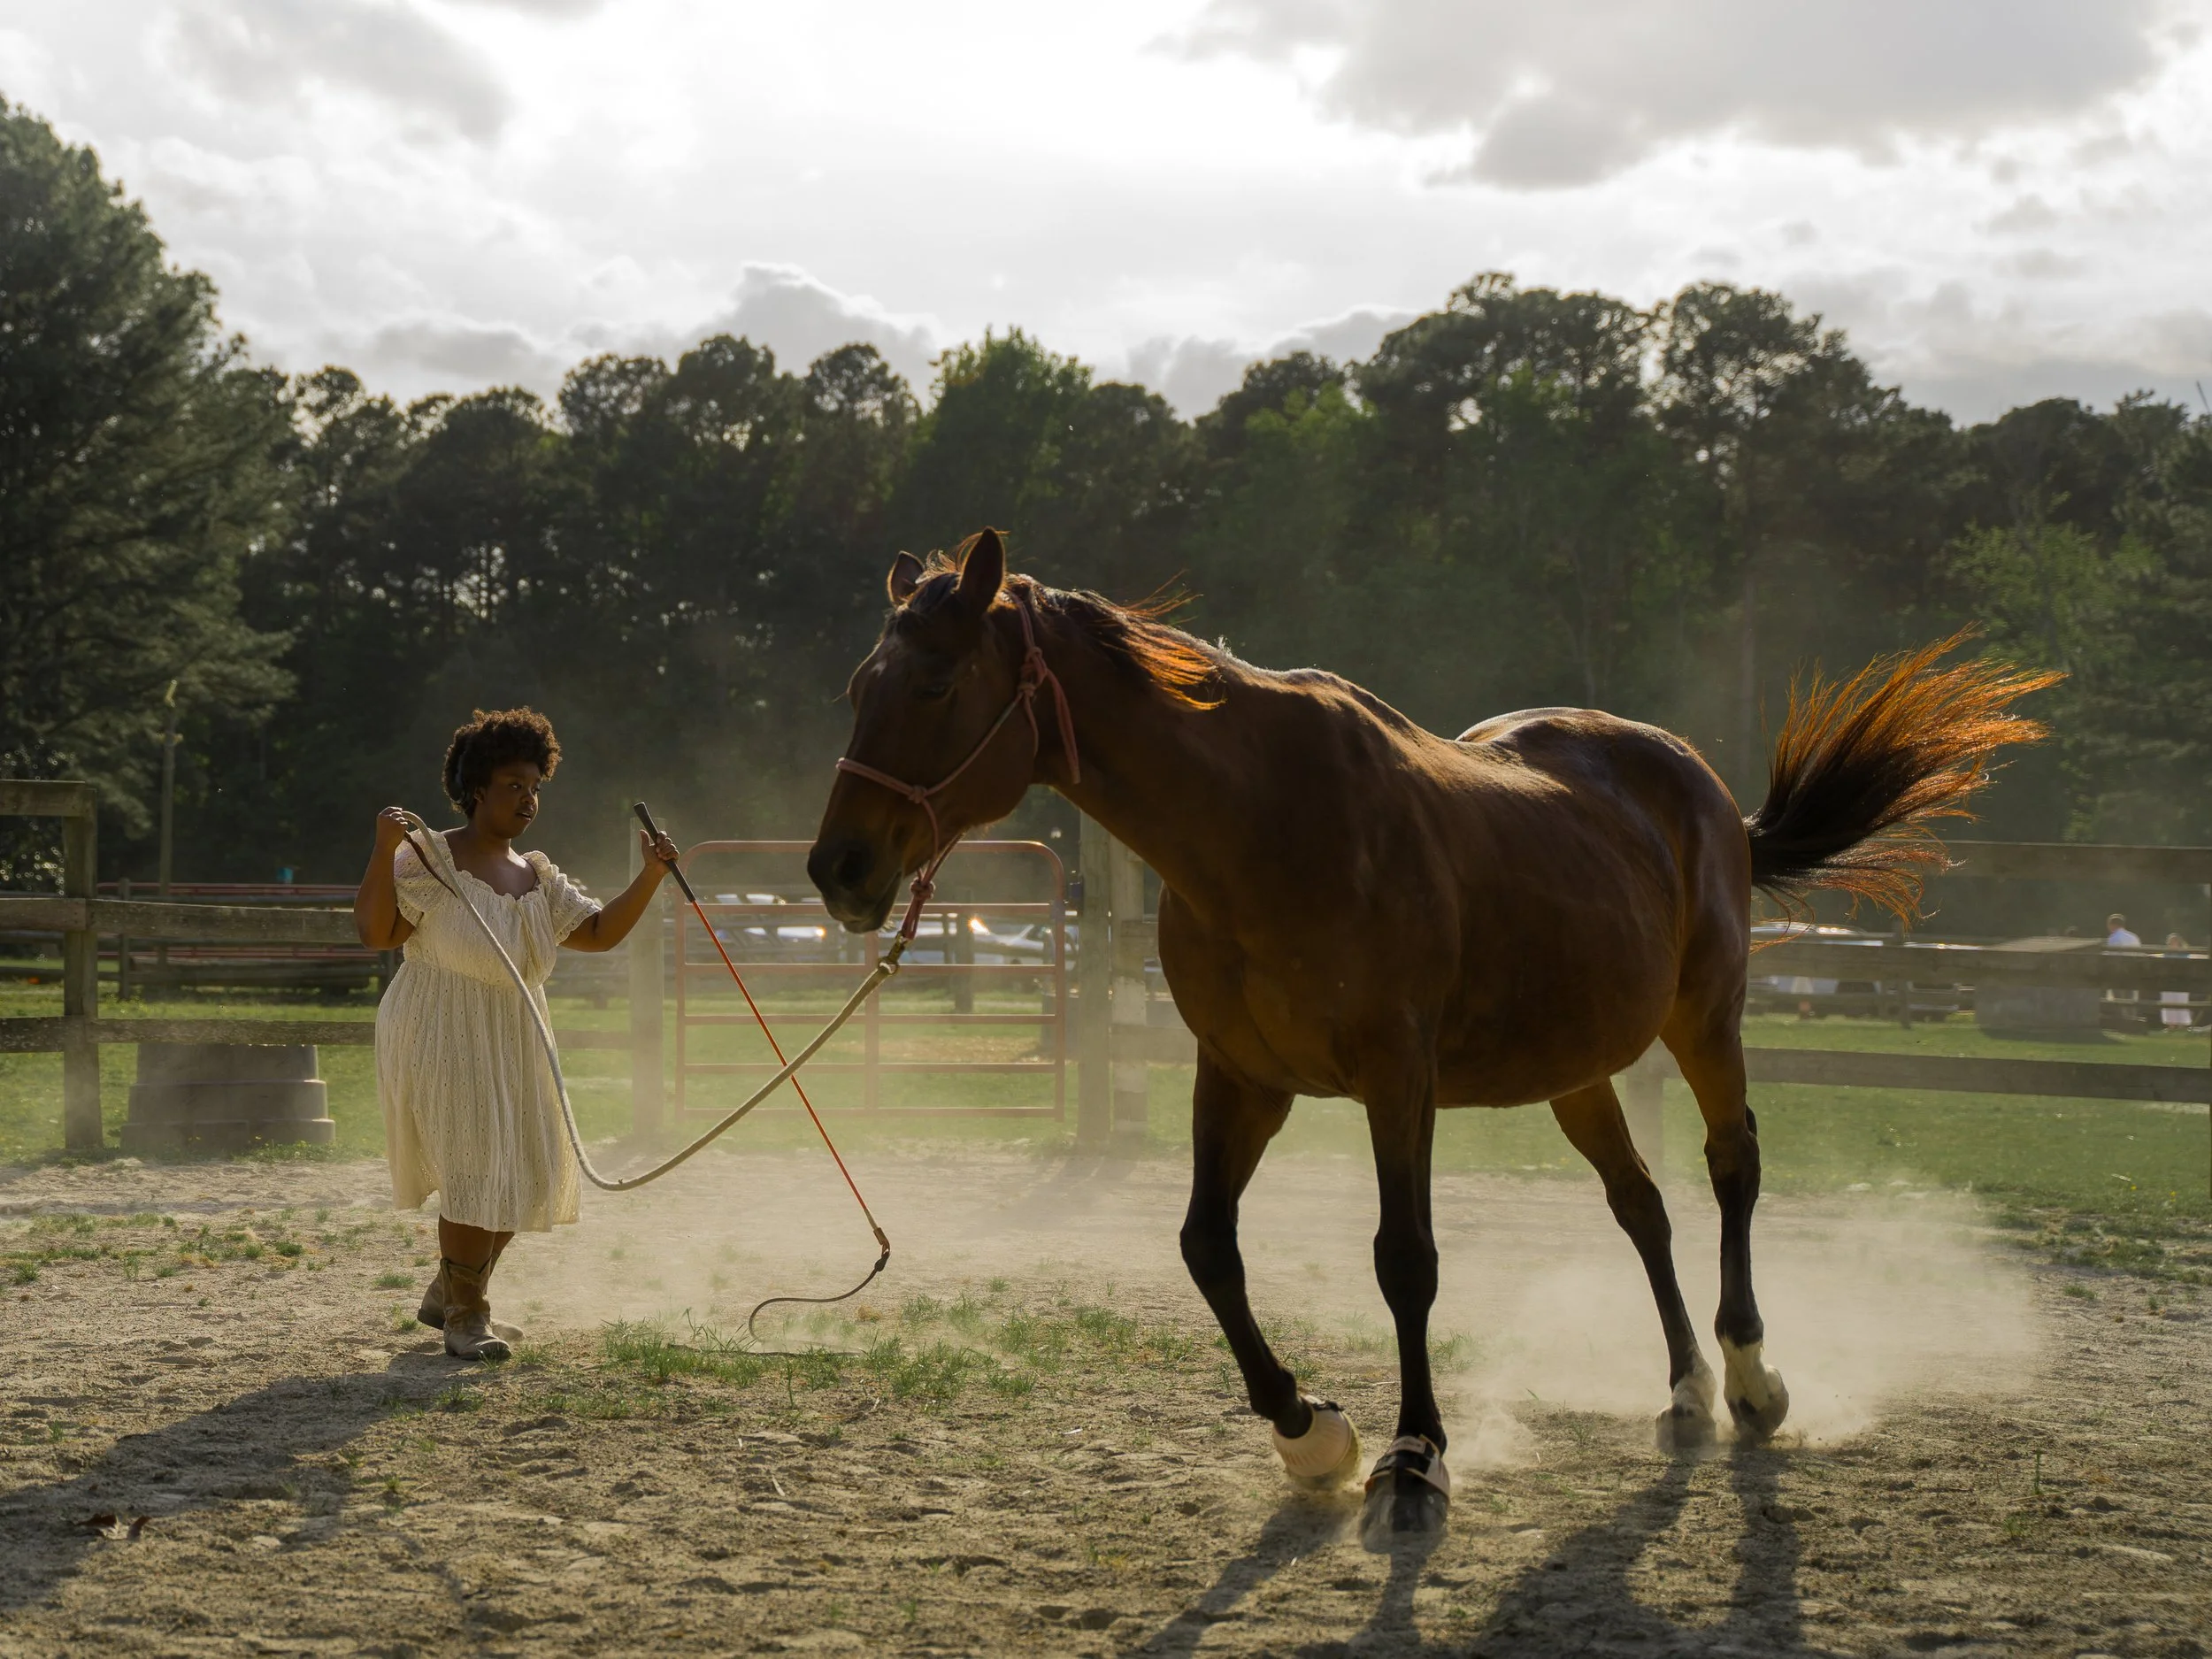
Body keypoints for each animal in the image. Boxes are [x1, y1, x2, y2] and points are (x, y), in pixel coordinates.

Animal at [807, 527, 2054, 1545]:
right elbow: (1208, 1248)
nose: (838, 868)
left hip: (1705, 1017)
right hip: (1575, 1069)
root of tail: (1695, 784)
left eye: (931, 681)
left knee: (1730, 1165)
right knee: (1642, 1205)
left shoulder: (1394, 1080)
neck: (1261, 826)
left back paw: (1750, 1380)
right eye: (858, 685)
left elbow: (1405, 1261)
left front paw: (1413, 1457)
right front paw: (1309, 1432)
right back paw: (1686, 1390)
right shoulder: (1240, 1078)